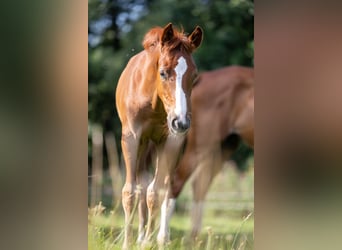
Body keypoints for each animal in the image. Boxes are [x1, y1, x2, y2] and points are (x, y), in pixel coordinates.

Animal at [115, 23, 202, 248]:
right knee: (142, 185)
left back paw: (161, 238)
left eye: (194, 76)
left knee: (165, 189)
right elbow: (130, 191)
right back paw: (140, 237)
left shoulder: (170, 141)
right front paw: (128, 243)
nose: (181, 122)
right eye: (162, 73)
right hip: (144, 146)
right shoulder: (131, 137)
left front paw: (148, 242)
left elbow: (155, 194)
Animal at [164, 65, 254, 237]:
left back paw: (194, 238)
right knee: (178, 182)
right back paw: (162, 238)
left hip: (223, 147)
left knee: (200, 185)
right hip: (199, 148)